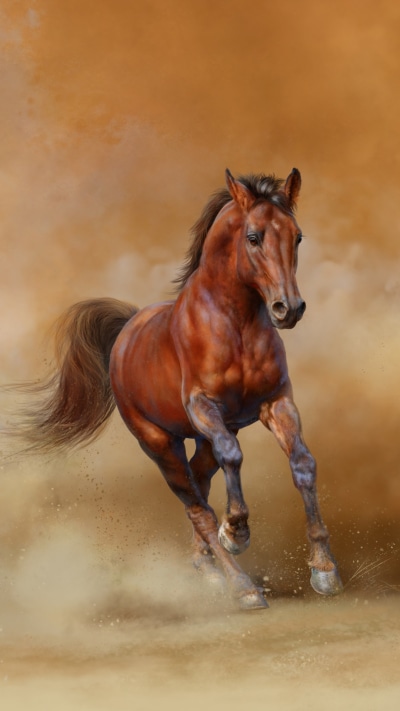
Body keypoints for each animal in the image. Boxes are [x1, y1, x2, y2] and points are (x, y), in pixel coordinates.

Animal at [10, 168, 343, 610]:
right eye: (254, 237)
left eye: (298, 236)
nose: (288, 309)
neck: (235, 324)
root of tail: (127, 330)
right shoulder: (203, 407)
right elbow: (232, 459)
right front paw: (236, 532)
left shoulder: (277, 404)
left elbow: (303, 463)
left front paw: (325, 570)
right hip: (159, 443)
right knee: (196, 506)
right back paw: (242, 586)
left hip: (199, 441)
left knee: (200, 487)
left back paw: (208, 570)